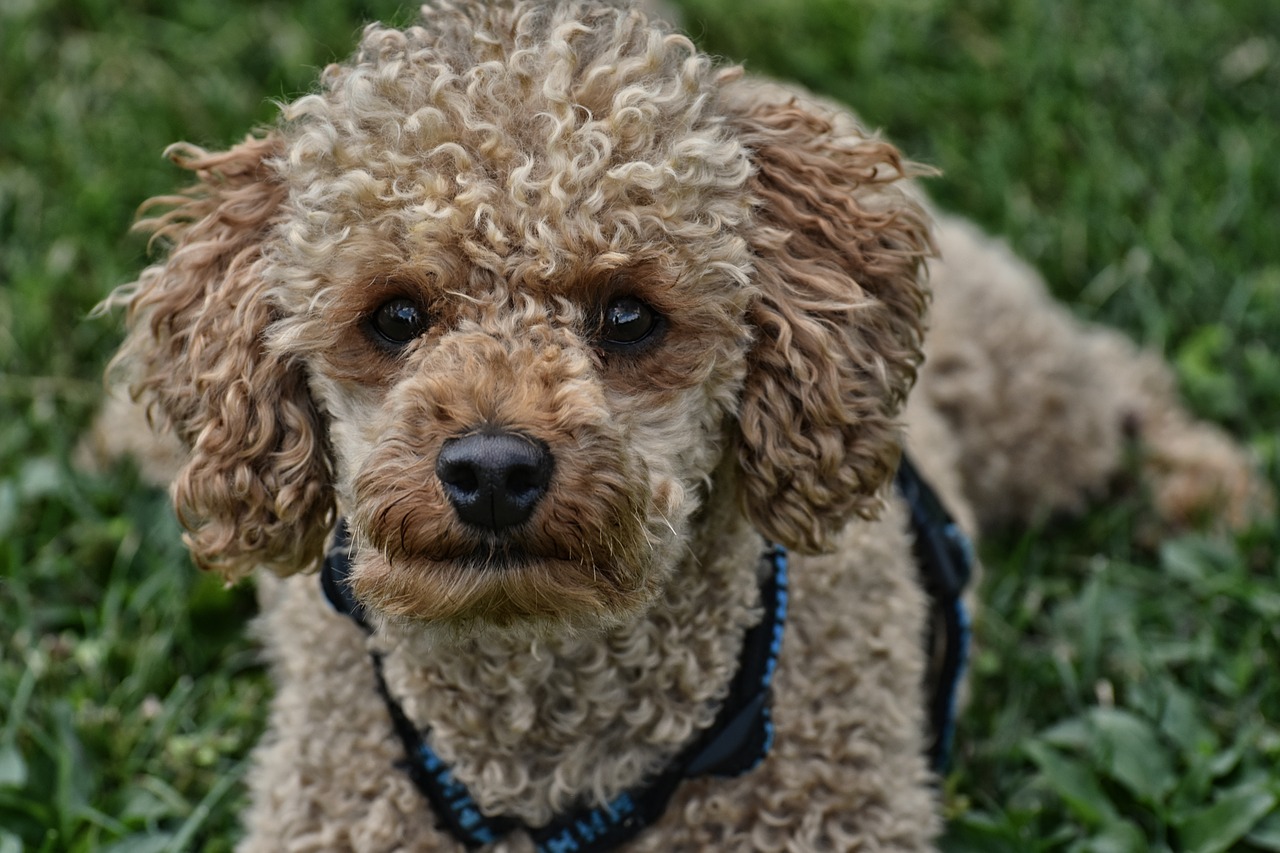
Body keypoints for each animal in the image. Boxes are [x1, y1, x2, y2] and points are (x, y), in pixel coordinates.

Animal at [99, 3, 1259, 845]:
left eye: (627, 315)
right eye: (394, 316)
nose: (492, 469)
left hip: (1025, 395)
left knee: (1114, 380)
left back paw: (1207, 484)